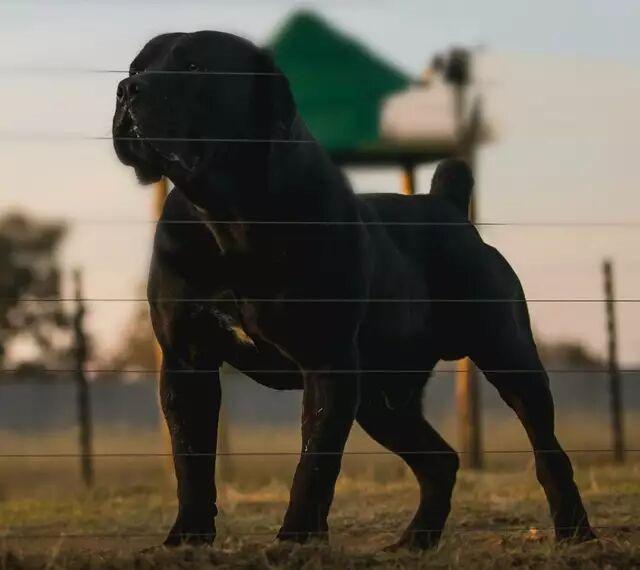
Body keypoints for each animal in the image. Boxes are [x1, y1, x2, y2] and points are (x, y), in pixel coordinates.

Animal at [114, 30, 596, 544]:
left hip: (509, 357)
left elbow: (315, 463)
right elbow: (191, 458)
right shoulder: (187, 362)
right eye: (136, 68)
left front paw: (297, 539)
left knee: (547, 451)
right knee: (440, 460)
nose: (127, 89)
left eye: (195, 68)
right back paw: (415, 541)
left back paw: (574, 530)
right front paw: (188, 537)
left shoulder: (326, 363)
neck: (229, 217)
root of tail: (445, 204)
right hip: (381, 401)